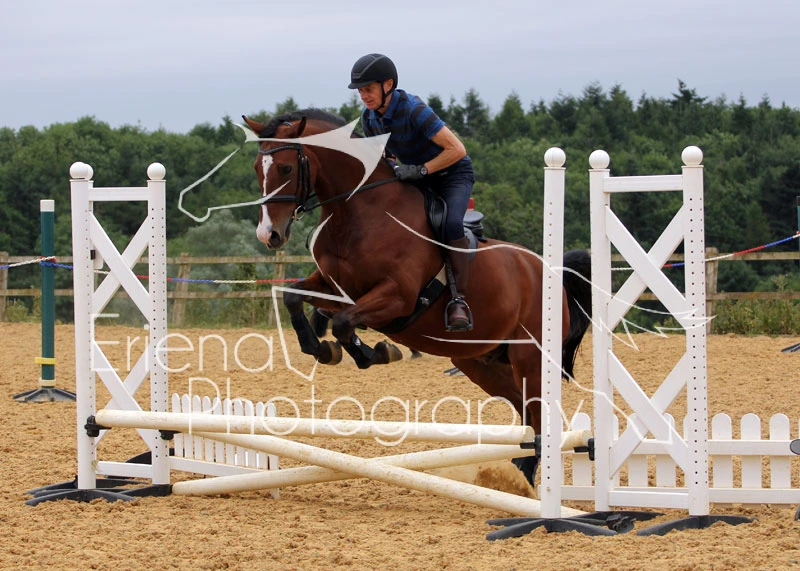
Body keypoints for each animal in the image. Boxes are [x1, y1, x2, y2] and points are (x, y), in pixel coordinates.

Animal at [242, 109, 592, 485]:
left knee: (540, 413)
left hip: (529, 356)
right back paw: (518, 477)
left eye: (286, 168)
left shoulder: (398, 297)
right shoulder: (335, 288)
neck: (359, 213)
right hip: (480, 361)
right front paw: (323, 350)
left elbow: (344, 323)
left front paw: (377, 353)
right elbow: (296, 299)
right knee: (525, 410)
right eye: (256, 168)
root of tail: (548, 271)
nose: (269, 234)